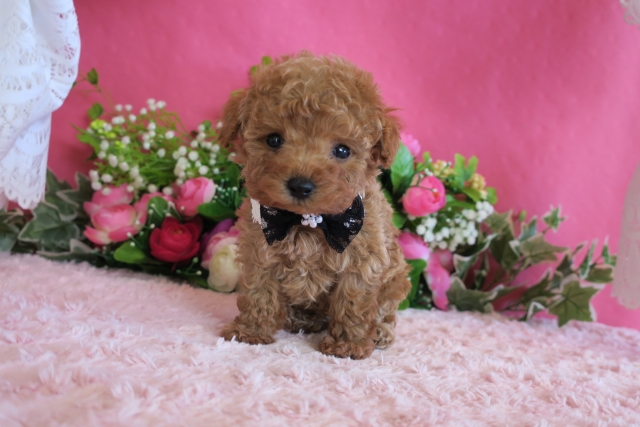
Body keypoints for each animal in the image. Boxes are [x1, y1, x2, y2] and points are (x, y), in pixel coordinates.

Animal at [218, 52, 411, 359]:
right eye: (274, 139)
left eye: (342, 150)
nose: (300, 185)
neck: (307, 221)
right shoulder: (259, 250)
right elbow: (259, 291)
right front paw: (250, 331)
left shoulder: (364, 259)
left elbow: (353, 302)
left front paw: (347, 344)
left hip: (395, 278)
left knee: (385, 310)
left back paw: (380, 332)